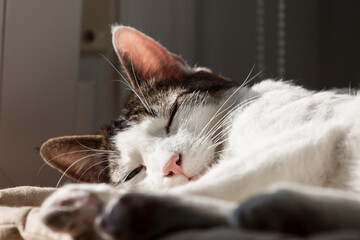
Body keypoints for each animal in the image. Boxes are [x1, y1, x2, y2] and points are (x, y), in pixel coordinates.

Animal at [38, 25, 360, 239]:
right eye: (134, 172)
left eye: (172, 117)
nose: (171, 164)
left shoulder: (314, 134)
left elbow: (233, 176)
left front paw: (98, 199)